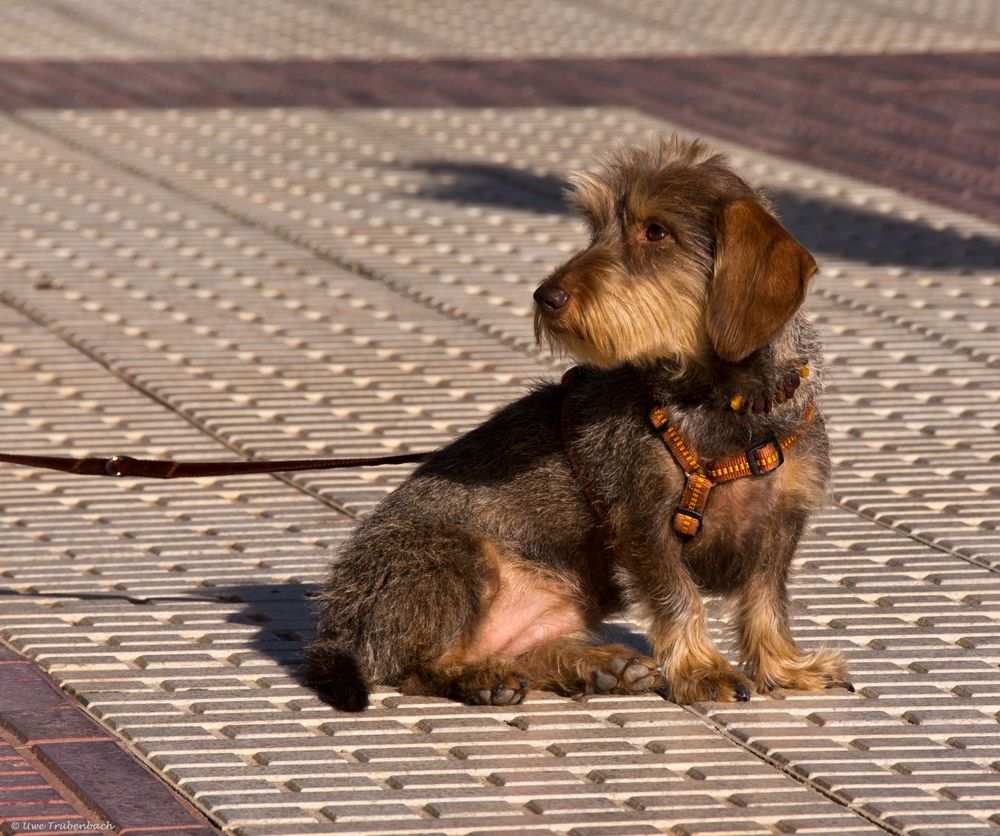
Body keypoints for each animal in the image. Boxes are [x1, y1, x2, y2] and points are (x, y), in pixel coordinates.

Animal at [306, 137, 852, 712]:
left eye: (655, 231)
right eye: (597, 228)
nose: (546, 296)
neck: (726, 404)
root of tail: (339, 623)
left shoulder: (781, 525)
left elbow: (767, 604)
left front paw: (786, 667)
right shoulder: (642, 522)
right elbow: (680, 599)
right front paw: (701, 668)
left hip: (565, 597)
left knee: (525, 653)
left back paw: (599, 666)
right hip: (459, 556)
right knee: (418, 667)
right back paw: (481, 677)